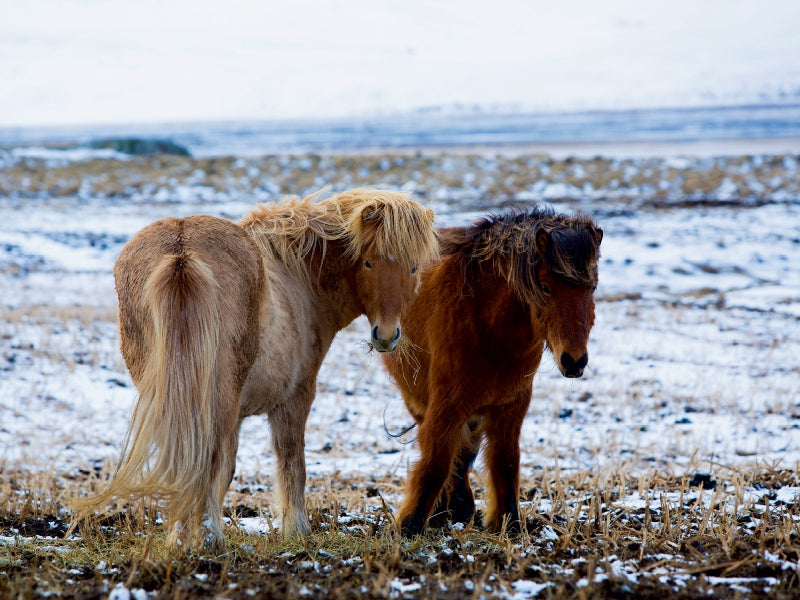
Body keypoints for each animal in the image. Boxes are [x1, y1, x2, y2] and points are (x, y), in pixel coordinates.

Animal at [73, 188, 438, 552]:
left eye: (413, 267)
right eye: (368, 262)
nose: (386, 335)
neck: (298, 275)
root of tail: (181, 251)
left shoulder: (236, 415)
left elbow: (227, 471)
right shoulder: (295, 397)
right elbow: (291, 462)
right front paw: (296, 530)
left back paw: (181, 538)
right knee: (208, 458)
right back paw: (210, 541)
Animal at [382, 209, 600, 536]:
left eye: (592, 288)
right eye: (545, 287)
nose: (574, 361)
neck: (487, 323)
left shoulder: (510, 407)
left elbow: (504, 462)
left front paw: (508, 522)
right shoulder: (446, 405)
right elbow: (435, 461)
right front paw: (410, 525)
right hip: (420, 400)